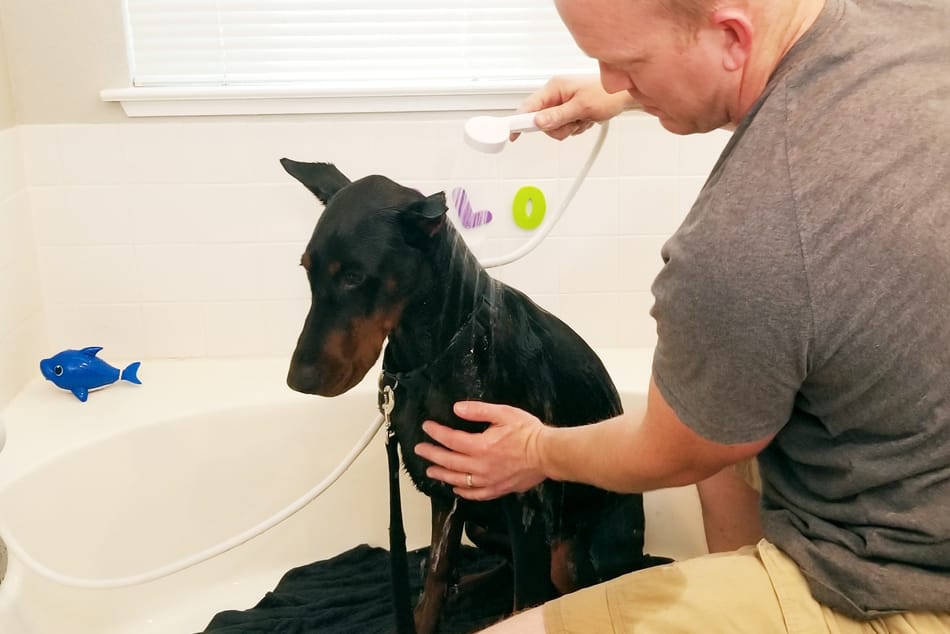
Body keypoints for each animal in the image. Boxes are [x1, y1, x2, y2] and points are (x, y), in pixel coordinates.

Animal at [282, 159, 660, 632]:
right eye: (306, 269)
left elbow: (529, 598)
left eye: (354, 277)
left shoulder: (526, 505)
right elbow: (434, 579)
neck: (435, 355)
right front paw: (431, 603)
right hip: (480, 524)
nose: (298, 380)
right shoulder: (446, 492)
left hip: (573, 553)